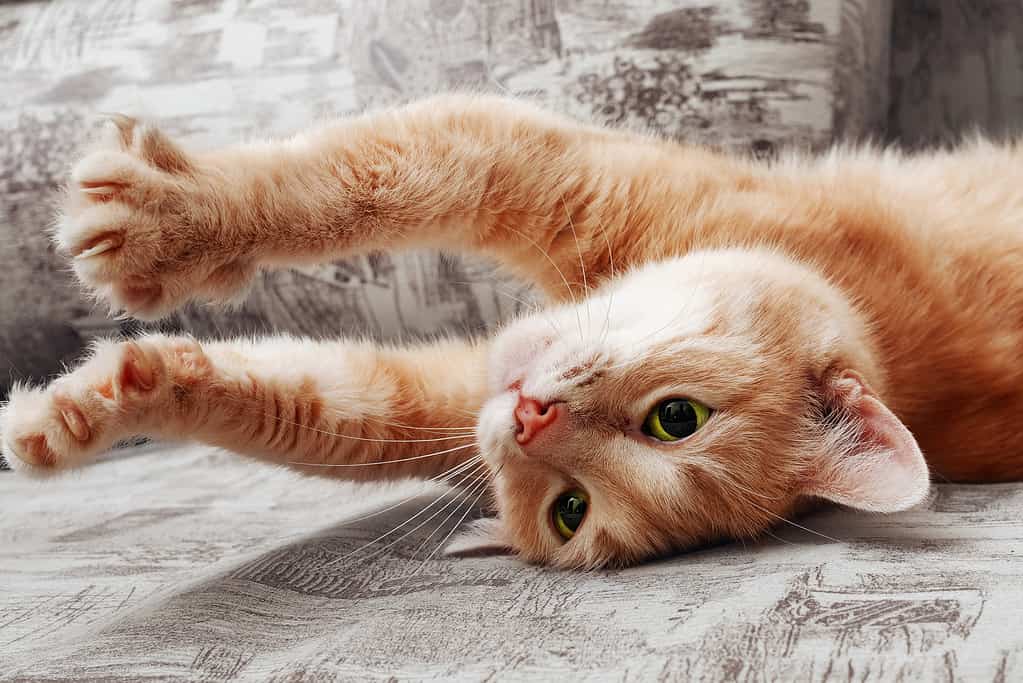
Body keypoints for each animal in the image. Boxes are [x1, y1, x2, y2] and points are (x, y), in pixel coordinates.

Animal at [1, 94, 1023, 564]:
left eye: (570, 509)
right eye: (677, 417)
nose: (531, 417)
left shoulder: (442, 406)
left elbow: (321, 408)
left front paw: (80, 407)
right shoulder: (547, 175)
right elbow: (370, 182)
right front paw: (169, 224)